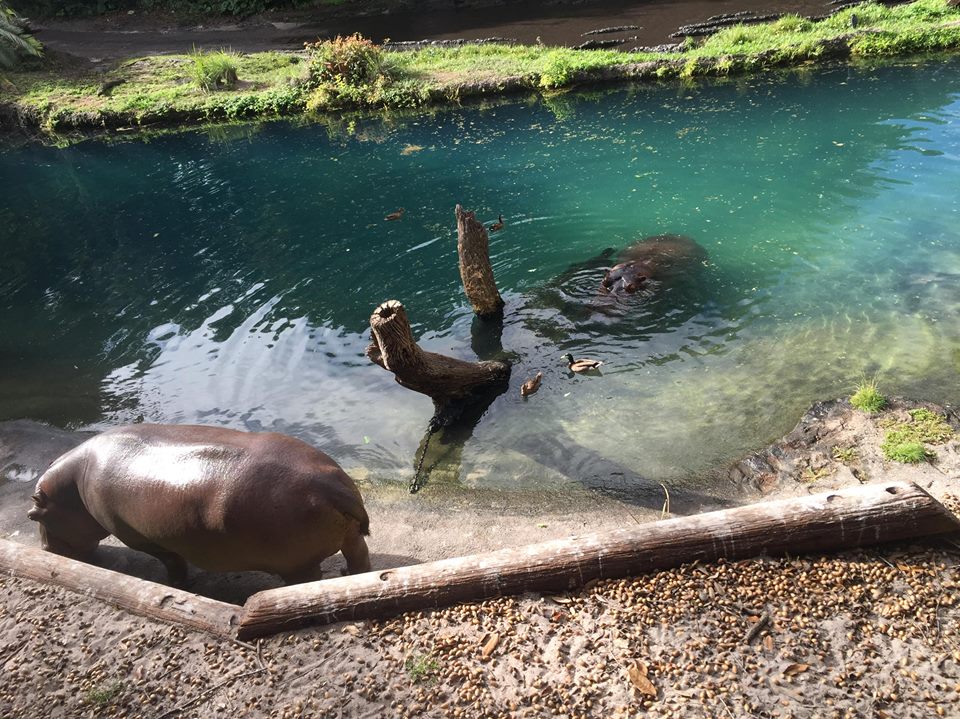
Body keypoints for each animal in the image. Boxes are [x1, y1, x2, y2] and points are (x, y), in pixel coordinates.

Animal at [27, 424, 371, 586]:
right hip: (349, 535)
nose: (45, 549)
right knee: (358, 559)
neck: (73, 483)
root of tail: (329, 484)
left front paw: (175, 584)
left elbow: (173, 563)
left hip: (296, 565)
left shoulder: (142, 540)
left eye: (33, 515)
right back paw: (347, 574)